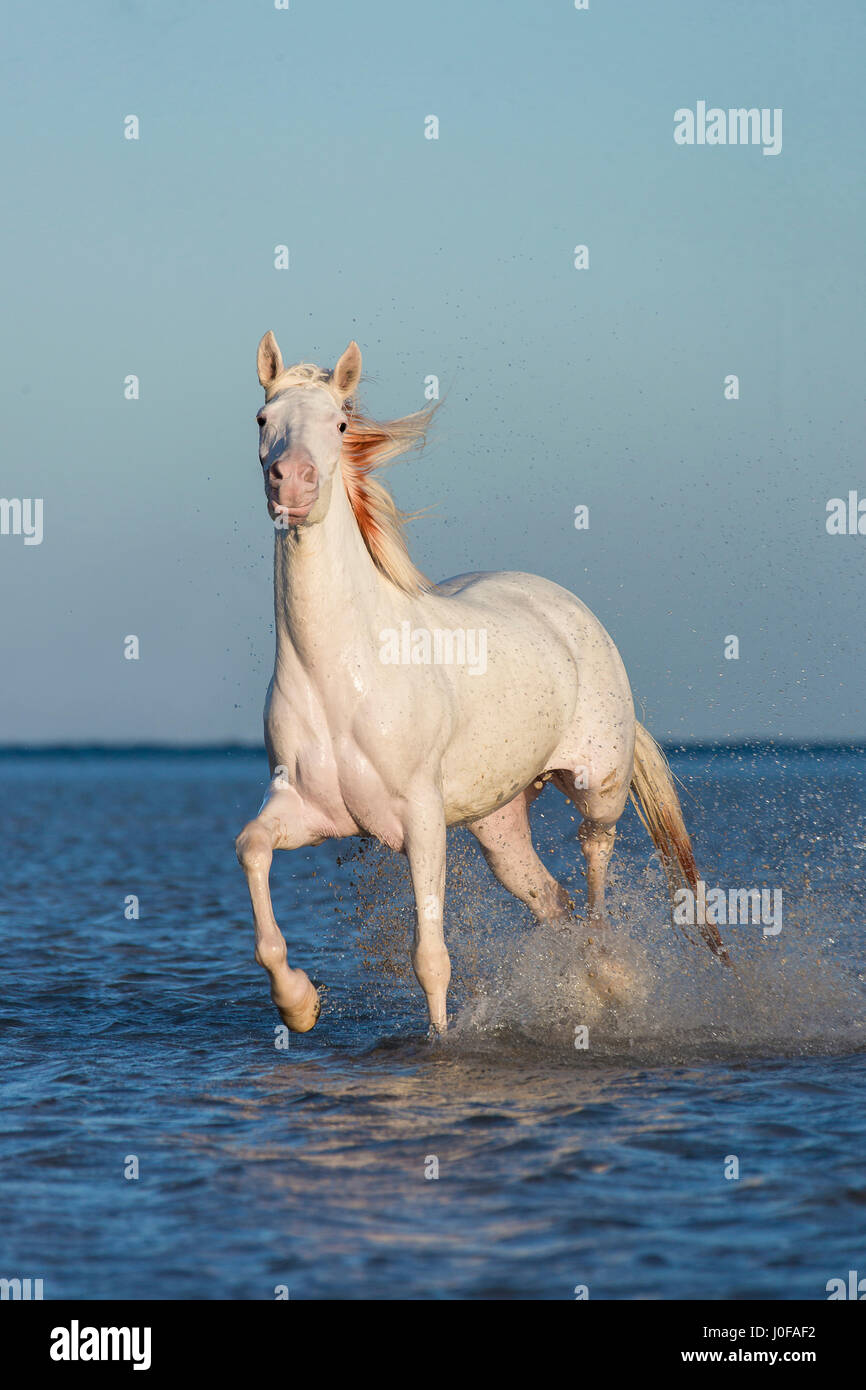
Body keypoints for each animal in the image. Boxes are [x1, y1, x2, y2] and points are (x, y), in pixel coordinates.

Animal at [233, 333, 728, 1034]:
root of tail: (568, 608)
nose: (293, 482)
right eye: (262, 419)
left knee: (594, 860)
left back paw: (608, 972)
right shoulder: (305, 809)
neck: (344, 675)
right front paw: (299, 1004)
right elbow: (252, 851)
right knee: (553, 900)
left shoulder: (420, 819)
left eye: (339, 424)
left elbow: (431, 958)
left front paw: (440, 1041)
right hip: (499, 830)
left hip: (598, 784)